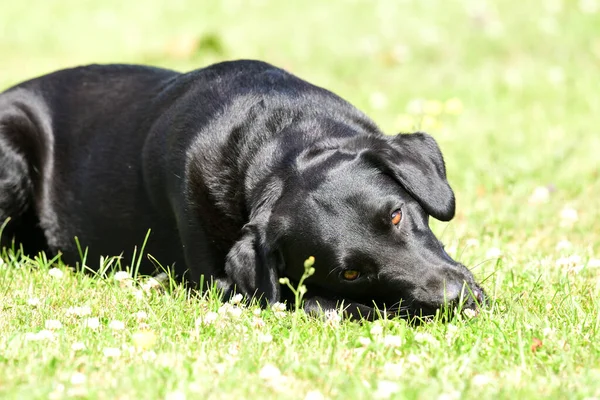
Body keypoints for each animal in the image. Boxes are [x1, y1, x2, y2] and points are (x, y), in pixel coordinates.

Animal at [0, 61, 482, 318]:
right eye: (349, 274)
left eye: (397, 215)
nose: (457, 302)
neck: (274, 143)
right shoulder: (224, 286)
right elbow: (307, 301)